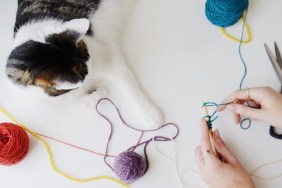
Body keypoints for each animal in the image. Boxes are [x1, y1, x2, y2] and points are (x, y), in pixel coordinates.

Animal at [4, 0, 163, 129]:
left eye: (87, 53)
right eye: (83, 70)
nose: (92, 67)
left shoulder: (108, 54)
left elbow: (129, 87)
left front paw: (151, 116)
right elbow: (77, 102)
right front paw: (98, 93)